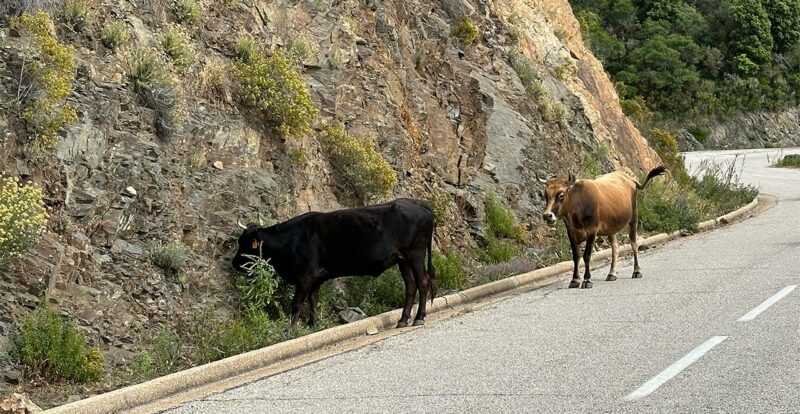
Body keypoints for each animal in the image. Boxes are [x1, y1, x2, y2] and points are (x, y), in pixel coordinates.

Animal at [233, 199, 438, 328]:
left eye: (243, 243)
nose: (233, 263)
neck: (291, 240)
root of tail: (418, 203)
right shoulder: (317, 277)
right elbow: (313, 300)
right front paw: (313, 324)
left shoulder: (304, 276)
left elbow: (297, 303)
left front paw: (290, 329)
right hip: (402, 259)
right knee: (410, 286)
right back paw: (403, 320)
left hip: (415, 254)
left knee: (423, 282)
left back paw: (419, 317)